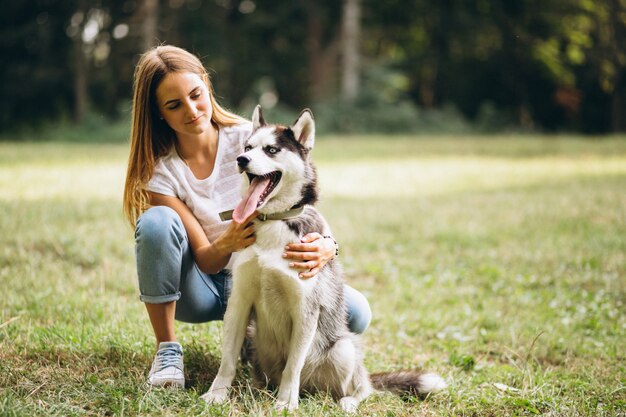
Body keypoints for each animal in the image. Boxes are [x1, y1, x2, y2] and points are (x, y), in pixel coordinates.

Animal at [200, 105, 444, 412]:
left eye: (271, 150)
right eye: (247, 147)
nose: (241, 160)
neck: (275, 221)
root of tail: (312, 389)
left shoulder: (306, 309)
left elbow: (293, 366)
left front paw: (285, 404)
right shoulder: (239, 302)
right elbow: (228, 359)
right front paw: (217, 395)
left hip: (344, 348)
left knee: (362, 386)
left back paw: (347, 401)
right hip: (256, 341)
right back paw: (261, 390)